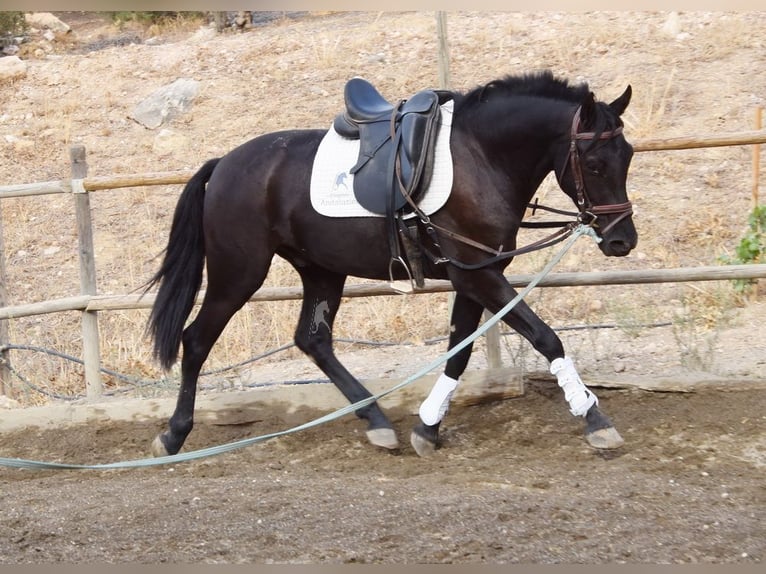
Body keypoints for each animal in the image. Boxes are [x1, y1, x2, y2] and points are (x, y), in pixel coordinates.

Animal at [147, 71, 640, 460]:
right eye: (594, 163)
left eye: (629, 156)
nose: (622, 240)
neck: (481, 156)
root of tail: (223, 164)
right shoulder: (478, 273)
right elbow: (546, 337)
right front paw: (595, 419)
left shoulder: (473, 275)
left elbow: (459, 352)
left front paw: (428, 427)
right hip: (239, 273)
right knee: (196, 341)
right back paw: (173, 436)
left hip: (322, 270)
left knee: (313, 339)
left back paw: (378, 422)